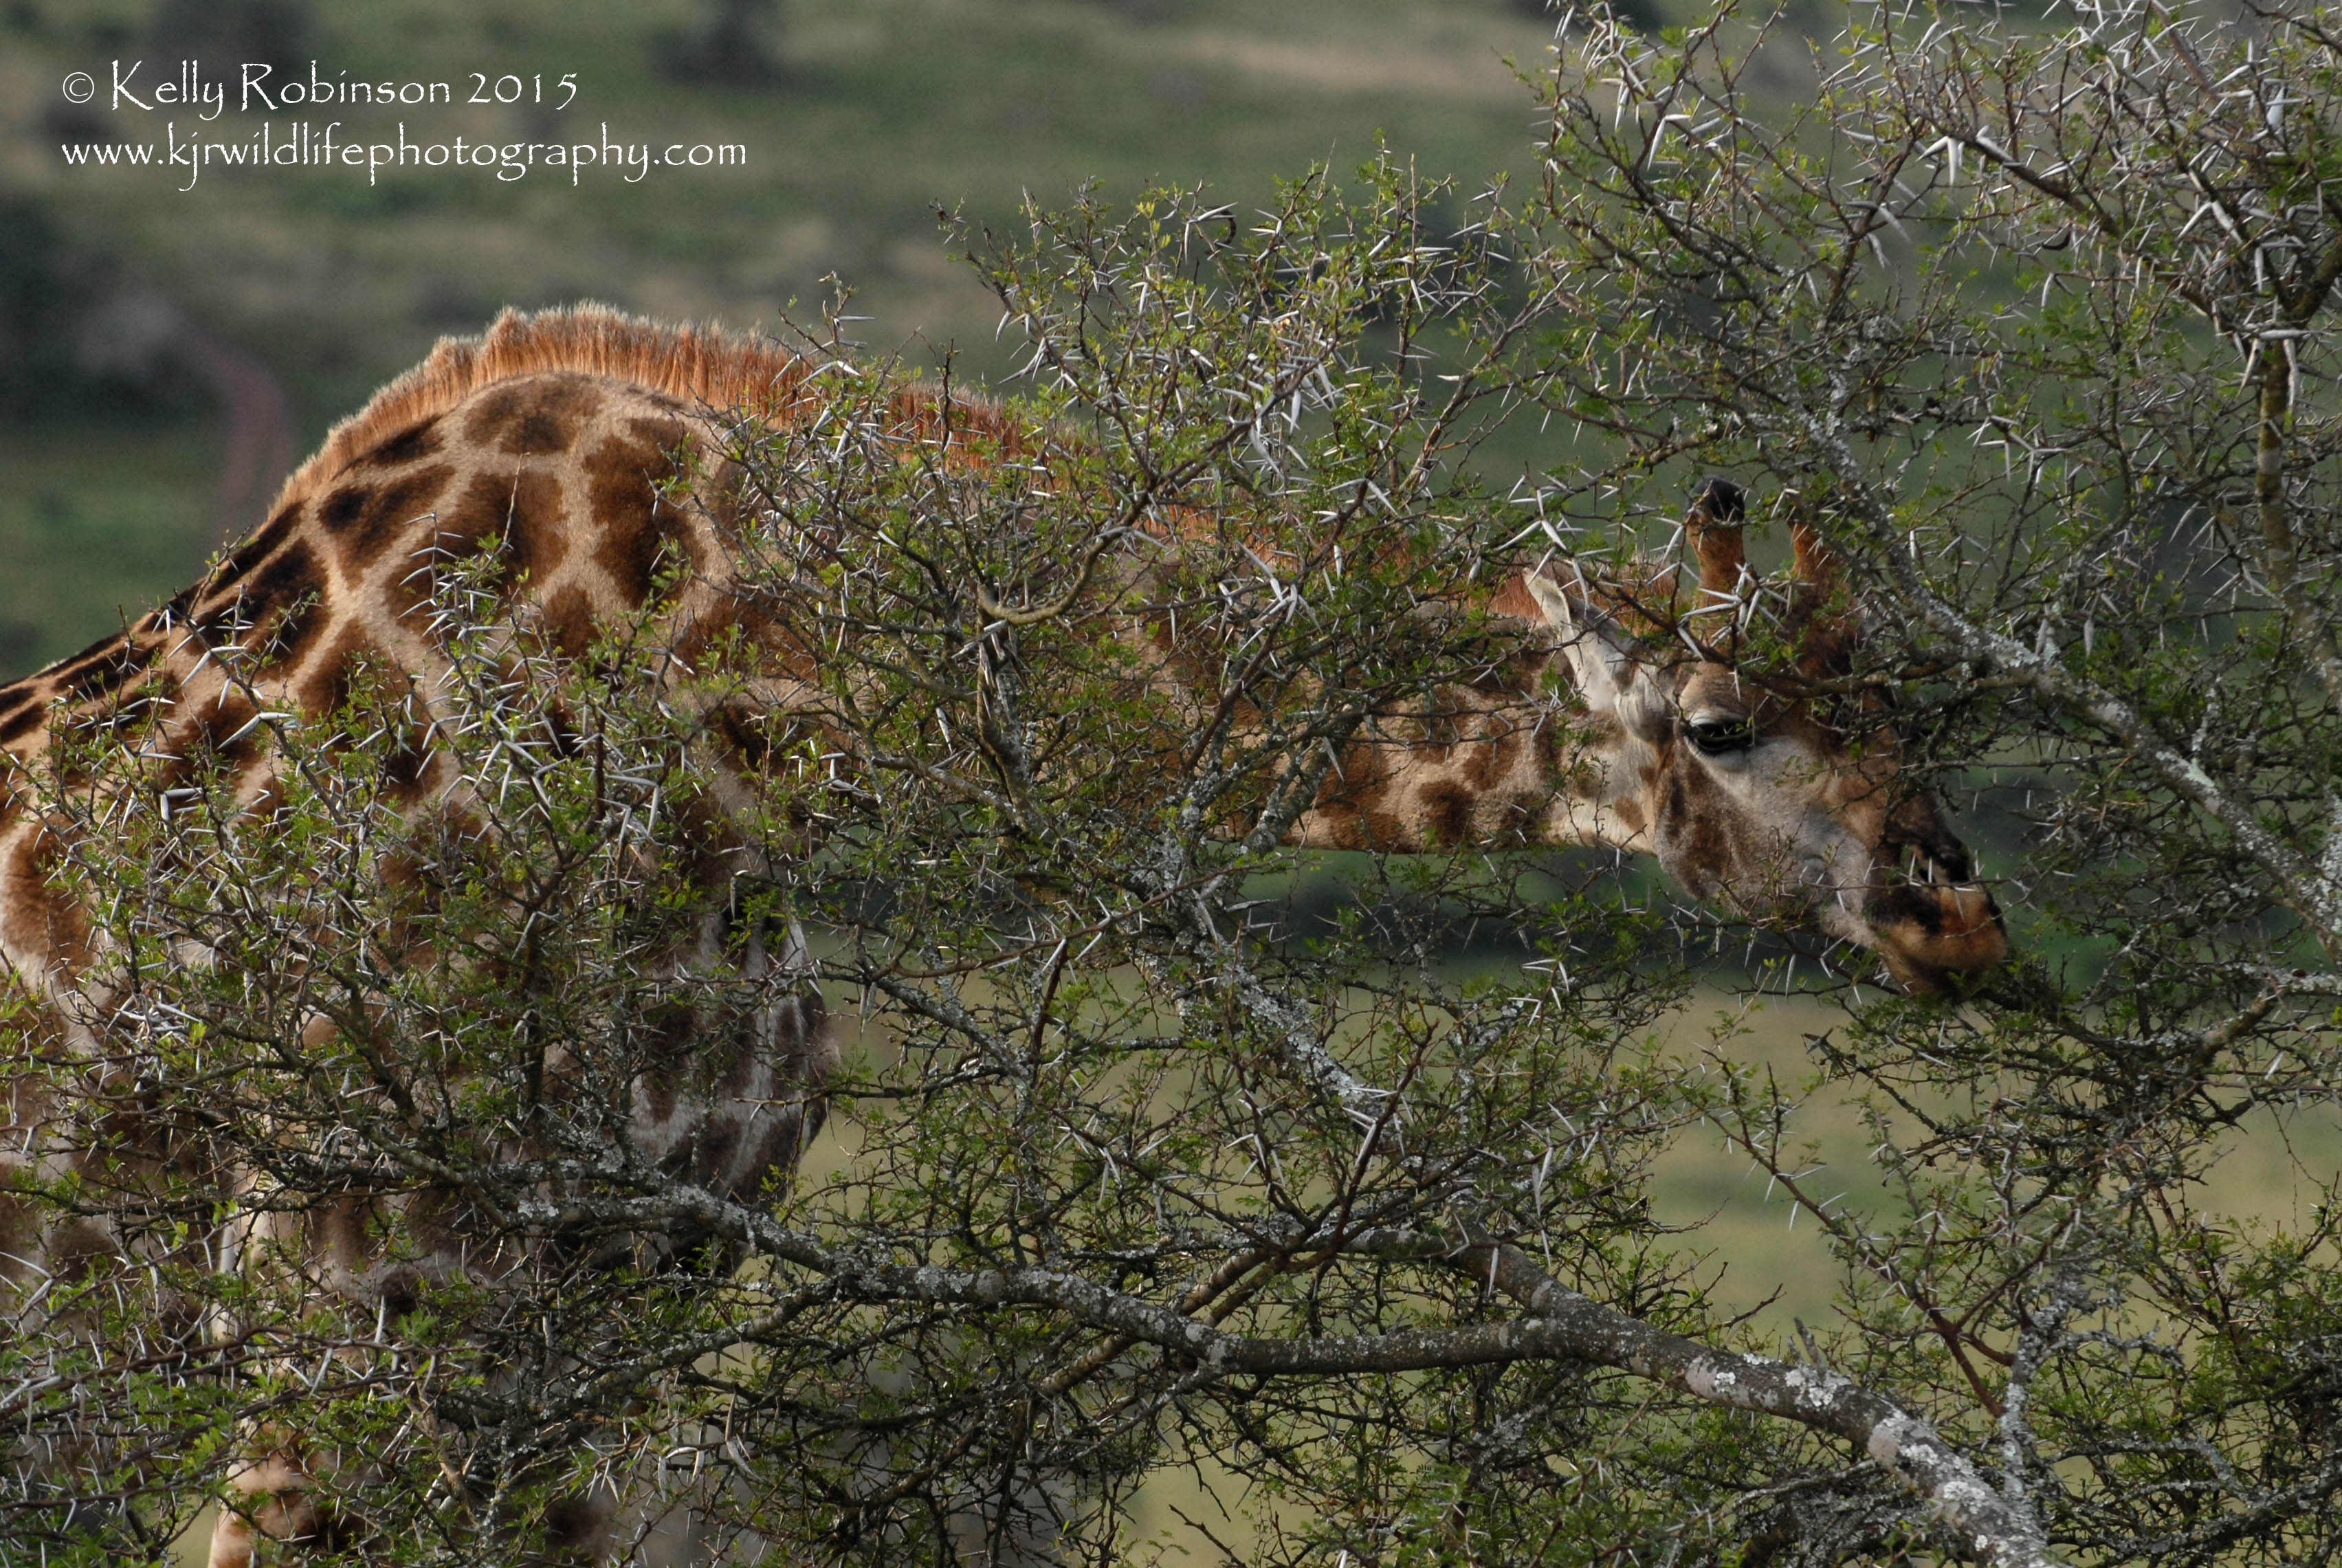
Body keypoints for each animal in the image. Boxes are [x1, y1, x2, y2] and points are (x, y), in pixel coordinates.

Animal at [0, 304, 2014, 1563]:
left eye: (1909, 705)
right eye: (1718, 726)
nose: (1957, 908)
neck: (752, 699)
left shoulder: (612, 1306)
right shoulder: (346, 1306)